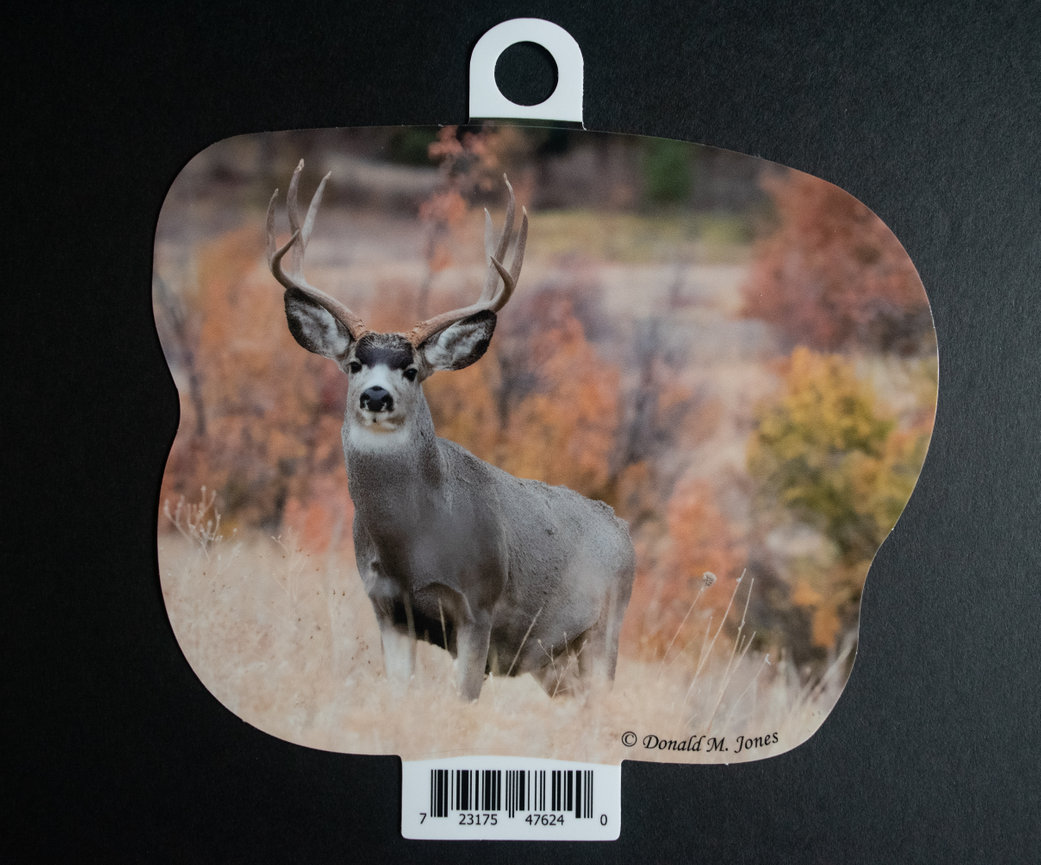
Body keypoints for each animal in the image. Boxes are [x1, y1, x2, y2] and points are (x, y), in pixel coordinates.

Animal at [266, 160, 635, 701]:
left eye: (412, 370)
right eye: (354, 364)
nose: (375, 396)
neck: (413, 546)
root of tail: (624, 531)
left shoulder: (478, 607)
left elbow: (464, 697)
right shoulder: (386, 609)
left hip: (606, 629)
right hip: (555, 662)